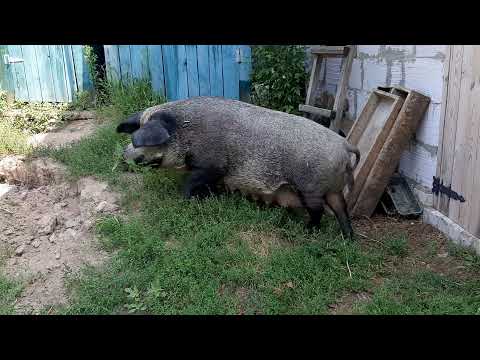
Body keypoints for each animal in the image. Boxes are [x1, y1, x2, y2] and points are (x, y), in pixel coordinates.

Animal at [116, 97, 358, 240]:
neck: (185, 130)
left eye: (143, 140)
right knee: (341, 208)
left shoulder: (213, 165)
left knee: (319, 211)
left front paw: (185, 200)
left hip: (311, 188)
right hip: (333, 188)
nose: (123, 155)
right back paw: (348, 239)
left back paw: (307, 231)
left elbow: (192, 181)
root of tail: (344, 144)